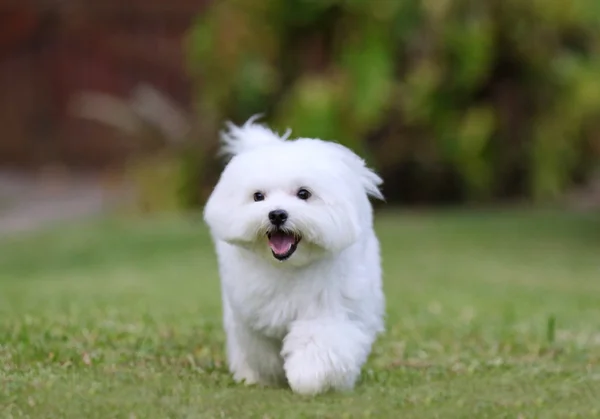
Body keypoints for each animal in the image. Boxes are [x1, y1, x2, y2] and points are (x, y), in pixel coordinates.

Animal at [204, 115, 384, 398]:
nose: (277, 214)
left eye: (303, 194)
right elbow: (260, 347)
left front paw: (307, 377)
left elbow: (320, 341)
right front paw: (270, 375)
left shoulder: (328, 308)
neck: (288, 266)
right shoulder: (252, 313)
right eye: (258, 196)